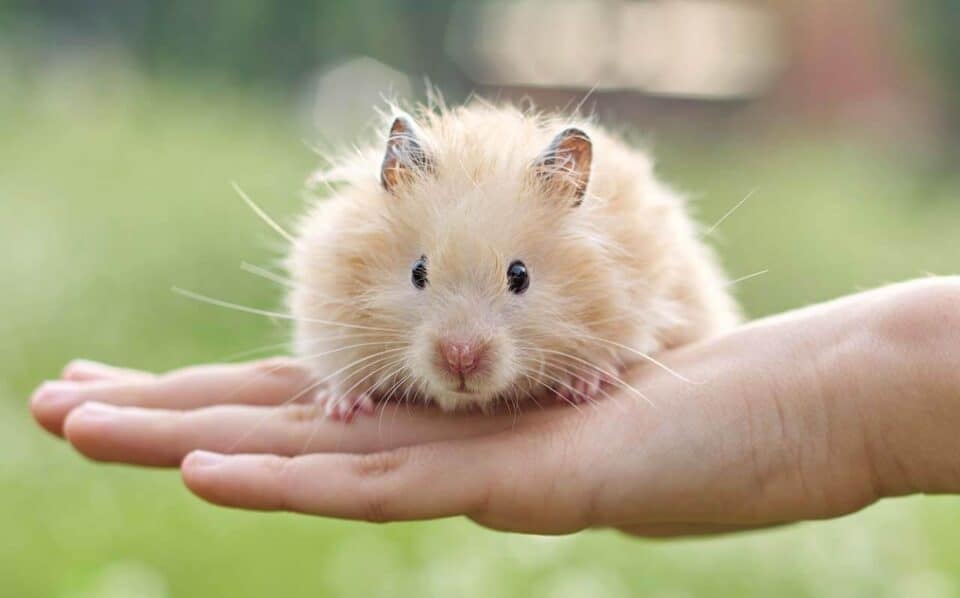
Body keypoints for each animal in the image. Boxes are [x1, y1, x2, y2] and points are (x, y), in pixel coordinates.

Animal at [288, 101, 739, 420]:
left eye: (519, 276)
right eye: (417, 272)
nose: (460, 357)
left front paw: (583, 384)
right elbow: (340, 366)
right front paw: (342, 407)